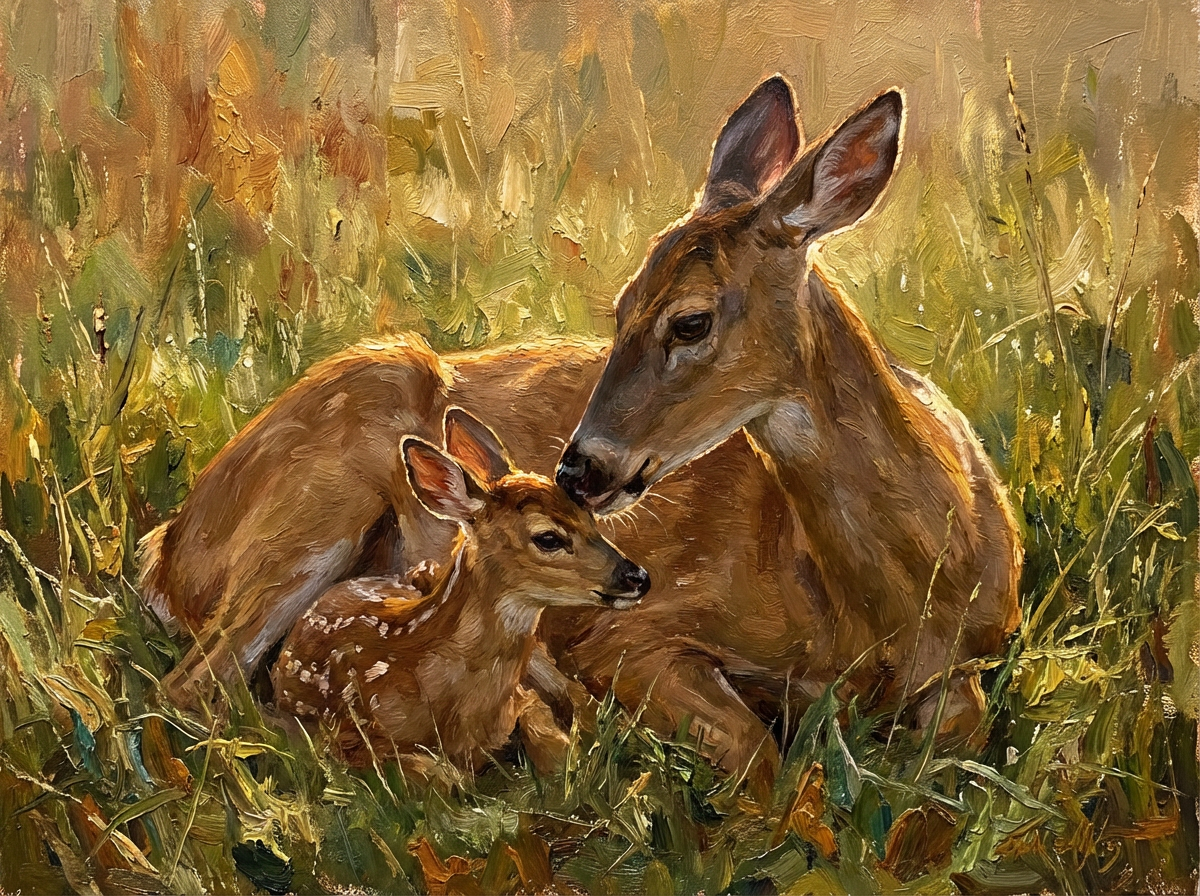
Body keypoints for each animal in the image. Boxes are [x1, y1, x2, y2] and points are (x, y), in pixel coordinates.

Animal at [269, 407, 650, 773]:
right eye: (548, 538)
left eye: (591, 521)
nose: (639, 577)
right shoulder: (347, 738)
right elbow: (438, 777)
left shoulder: (522, 698)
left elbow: (553, 744)